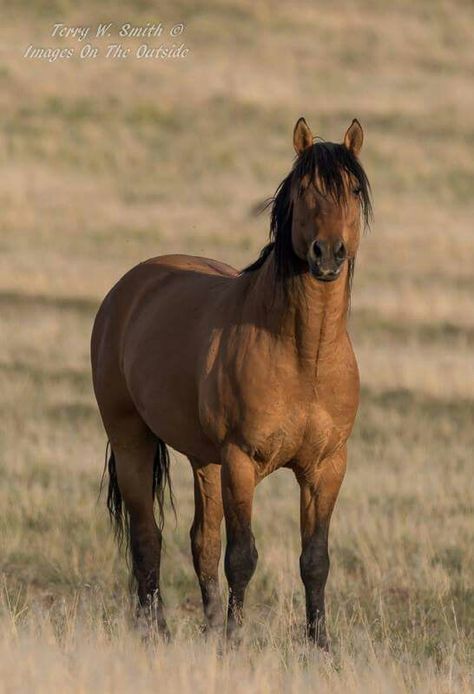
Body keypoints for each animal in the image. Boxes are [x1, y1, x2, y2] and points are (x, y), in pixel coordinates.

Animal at [90, 117, 372, 648]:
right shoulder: (242, 461)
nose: (328, 254)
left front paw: (319, 645)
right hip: (133, 439)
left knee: (201, 541)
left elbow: (315, 560)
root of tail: (127, 288)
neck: (304, 355)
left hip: (205, 462)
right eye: (304, 189)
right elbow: (242, 556)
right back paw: (157, 630)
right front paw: (235, 642)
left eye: (350, 190)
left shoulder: (327, 468)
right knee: (147, 536)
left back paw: (207, 625)